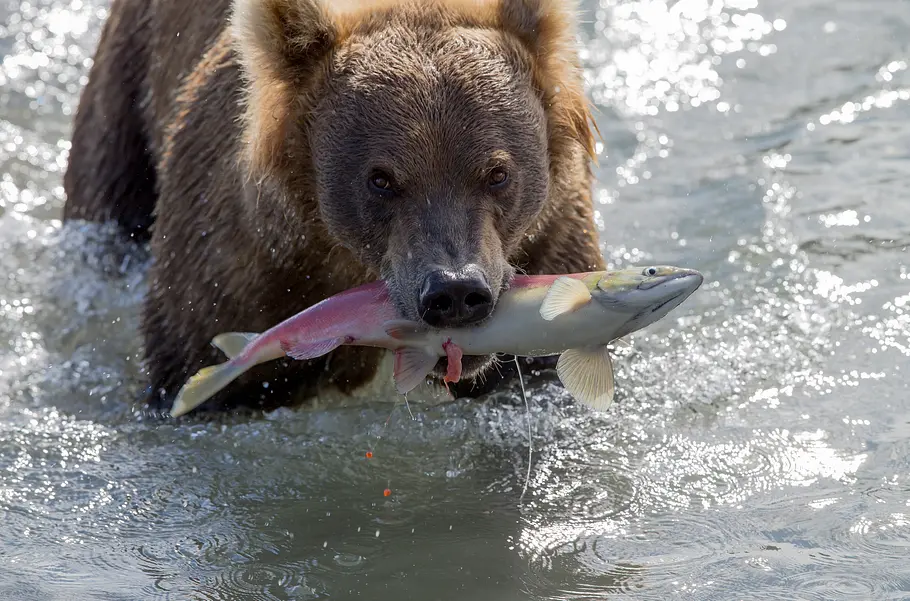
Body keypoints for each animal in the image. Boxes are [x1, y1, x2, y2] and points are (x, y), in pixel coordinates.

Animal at [62, 0, 606, 414]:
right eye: (380, 179)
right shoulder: (236, 266)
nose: (455, 292)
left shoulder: (554, 241)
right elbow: (194, 358)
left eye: (497, 173)